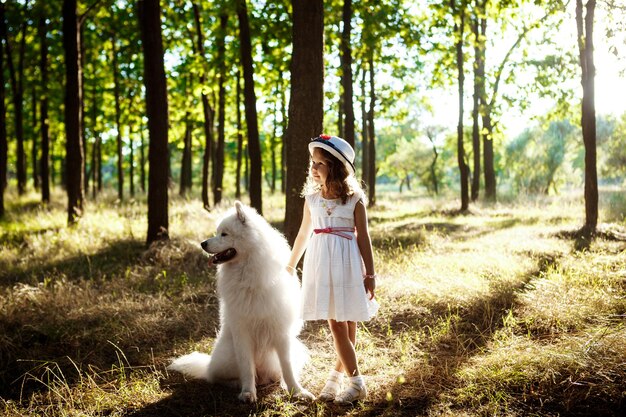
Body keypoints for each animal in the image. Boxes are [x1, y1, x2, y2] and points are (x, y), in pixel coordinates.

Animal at [167, 202, 312, 404]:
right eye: (217, 232)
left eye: (224, 234)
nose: (203, 243)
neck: (248, 275)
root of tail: (208, 363)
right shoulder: (242, 332)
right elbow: (247, 367)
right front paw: (248, 393)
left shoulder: (280, 333)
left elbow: (287, 366)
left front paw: (297, 391)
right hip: (227, 356)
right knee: (215, 376)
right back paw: (237, 383)